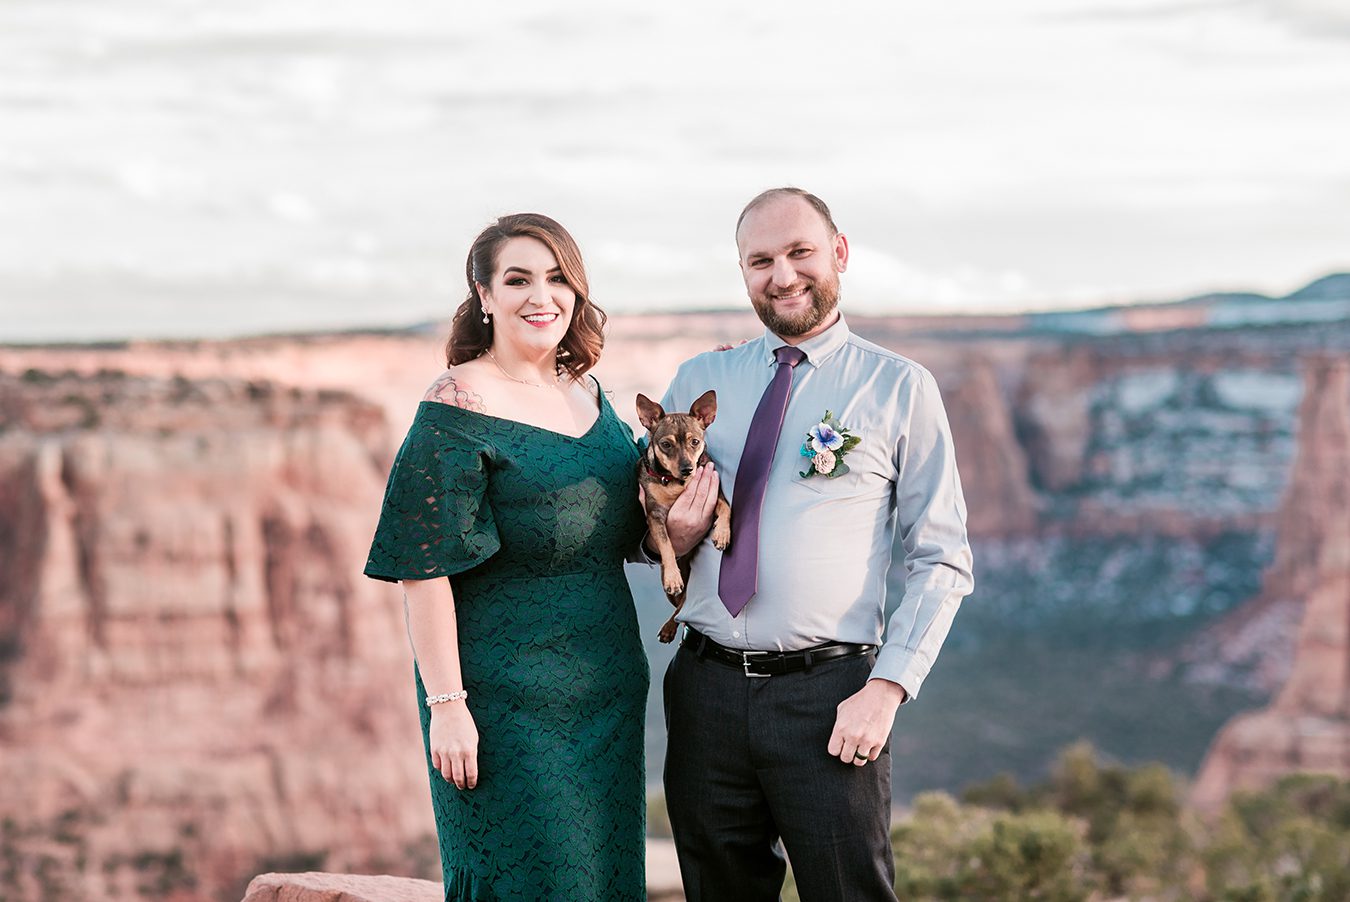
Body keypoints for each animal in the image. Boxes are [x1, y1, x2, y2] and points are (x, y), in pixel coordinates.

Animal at [637, 388, 734, 640]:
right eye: (665, 445)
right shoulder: (655, 516)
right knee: (681, 602)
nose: (687, 468)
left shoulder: (716, 496)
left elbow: (726, 508)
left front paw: (722, 534)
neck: (675, 482)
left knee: (684, 604)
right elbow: (666, 545)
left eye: (695, 442)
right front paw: (672, 576)